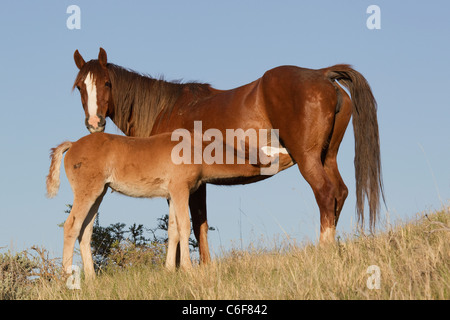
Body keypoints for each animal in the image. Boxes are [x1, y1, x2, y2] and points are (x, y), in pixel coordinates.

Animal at [46, 131, 292, 278]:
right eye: (280, 150)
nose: (296, 155)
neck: (196, 150)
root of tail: (73, 145)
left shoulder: (173, 195)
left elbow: (173, 230)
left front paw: (169, 270)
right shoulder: (180, 190)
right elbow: (185, 226)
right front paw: (188, 269)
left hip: (99, 194)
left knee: (85, 231)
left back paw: (92, 278)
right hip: (88, 192)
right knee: (71, 226)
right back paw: (67, 277)